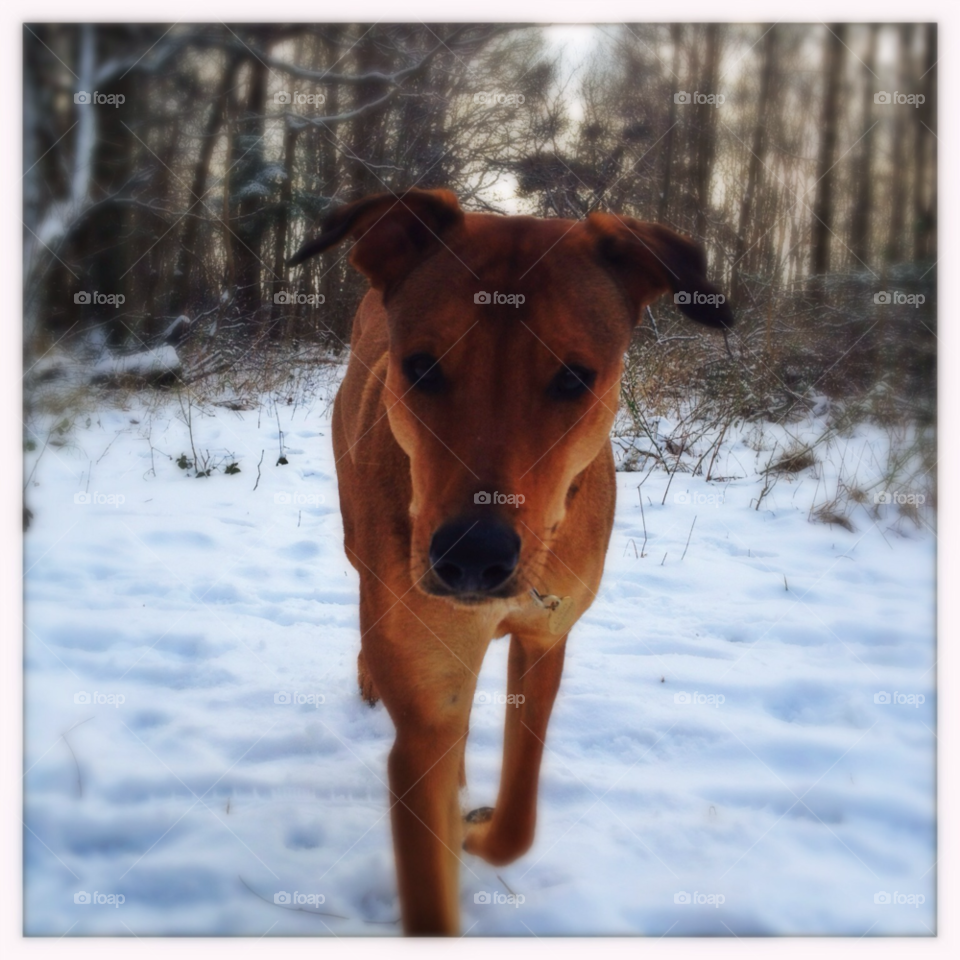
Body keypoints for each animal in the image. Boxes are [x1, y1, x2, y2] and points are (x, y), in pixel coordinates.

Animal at [288, 191, 732, 932]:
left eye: (575, 377)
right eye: (422, 366)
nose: (473, 556)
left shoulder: (546, 635)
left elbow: (520, 810)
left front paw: (476, 829)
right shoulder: (426, 703)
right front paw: (451, 827)